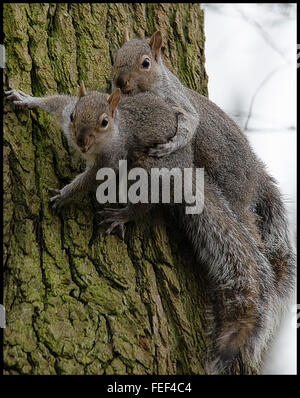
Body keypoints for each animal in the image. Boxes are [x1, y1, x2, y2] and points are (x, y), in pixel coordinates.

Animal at [5, 84, 282, 374]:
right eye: (74, 117)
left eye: (104, 122)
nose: (81, 142)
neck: (115, 131)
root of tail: (186, 174)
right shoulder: (65, 110)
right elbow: (54, 102)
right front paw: (26, 100)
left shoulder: (110, 160)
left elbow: (88, 182)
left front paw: (64, 196)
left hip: (147, 169)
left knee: (146, 203)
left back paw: (123, 215)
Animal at [111, 30, 294, 324]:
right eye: (114, 57)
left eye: (146, 63)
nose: (119, 81)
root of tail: (256, 171)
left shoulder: (178, 104)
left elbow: (189, 124)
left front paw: (170, 145)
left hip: (234, 189)